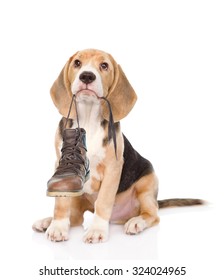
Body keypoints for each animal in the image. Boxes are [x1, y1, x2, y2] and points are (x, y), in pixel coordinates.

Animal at [32, 48, 203, 243]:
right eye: (77, 63)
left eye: (104, 65)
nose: (87, 76)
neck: (88, 119)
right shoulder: (61, 167)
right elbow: (61, 202)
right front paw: (58, 227)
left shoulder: (113, 168)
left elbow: (103, 201)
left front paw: (97, 230)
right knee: (74, 217)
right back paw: (47, 221)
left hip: (148, 183)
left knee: (152, 214)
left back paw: (136, 222)